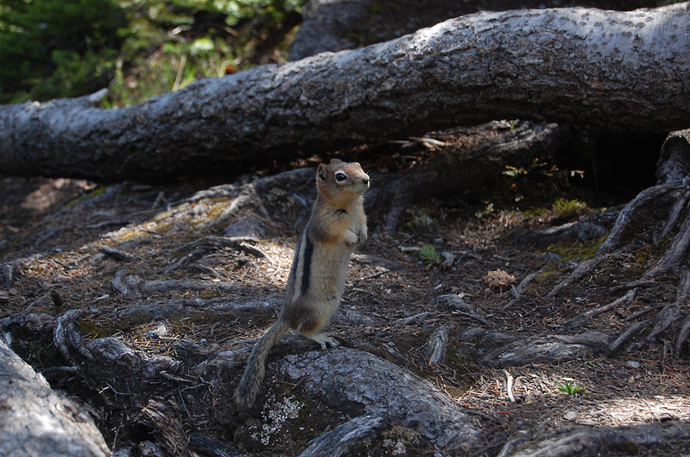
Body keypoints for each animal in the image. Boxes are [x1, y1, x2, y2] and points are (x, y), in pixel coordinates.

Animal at [234, 159, 368, 408]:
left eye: (359, 164)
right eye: (340, 177)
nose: (367, 179)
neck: (351, 205)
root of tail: (286, 316)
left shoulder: (362, 216)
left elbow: (364, 227)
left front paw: (362, 236)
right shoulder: (326, 224)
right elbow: (340, 234)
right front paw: (353, 238)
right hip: (322, 307)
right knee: (303, 330)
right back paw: (321, 336)